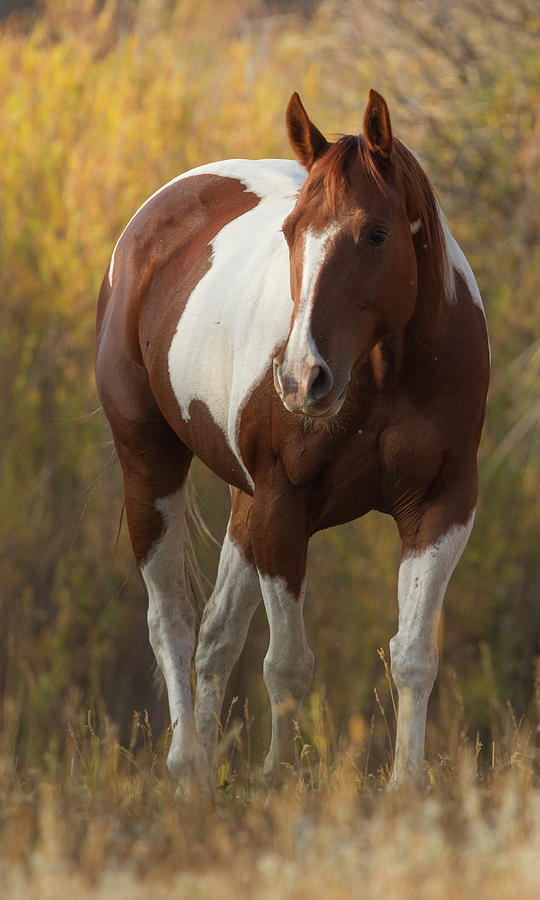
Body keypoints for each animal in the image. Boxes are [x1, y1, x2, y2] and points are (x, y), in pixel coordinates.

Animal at [95, 89, 492, 796]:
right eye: (290, 233)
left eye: (376, 233)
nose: (302, 379)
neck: (385, 372)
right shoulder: (285, 508)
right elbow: (286, 664)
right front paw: (279, 780)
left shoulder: (443, 507)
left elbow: (414, 655)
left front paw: (406, 787)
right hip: (151, 471)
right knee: (172, 622)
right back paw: (187, 765)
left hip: (244, 505)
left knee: (216, 635)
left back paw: (205, 774)